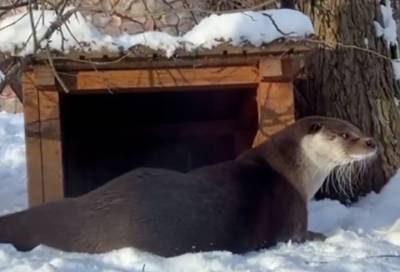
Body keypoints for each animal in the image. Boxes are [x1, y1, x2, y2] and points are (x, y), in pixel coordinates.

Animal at [0, 116, 376, 256]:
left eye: (357, 127)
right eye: (346, 135)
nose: (372, 142)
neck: (292, 174)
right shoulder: (292, 215)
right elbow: (303, 235)